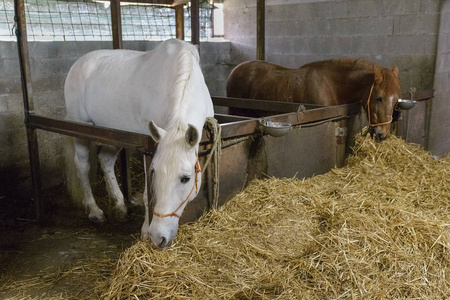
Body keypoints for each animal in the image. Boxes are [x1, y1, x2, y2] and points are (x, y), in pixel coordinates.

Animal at [63, 38, 216, 248]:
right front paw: (144, 231)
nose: (159, 236)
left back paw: (120, 207)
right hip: (80, 130)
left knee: (105, 160)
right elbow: (146, 195)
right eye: (154, 173)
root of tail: (78, 63)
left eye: (185, 178)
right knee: (83, 167)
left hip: (114, 134)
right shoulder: (148, 148)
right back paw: (95, 212)